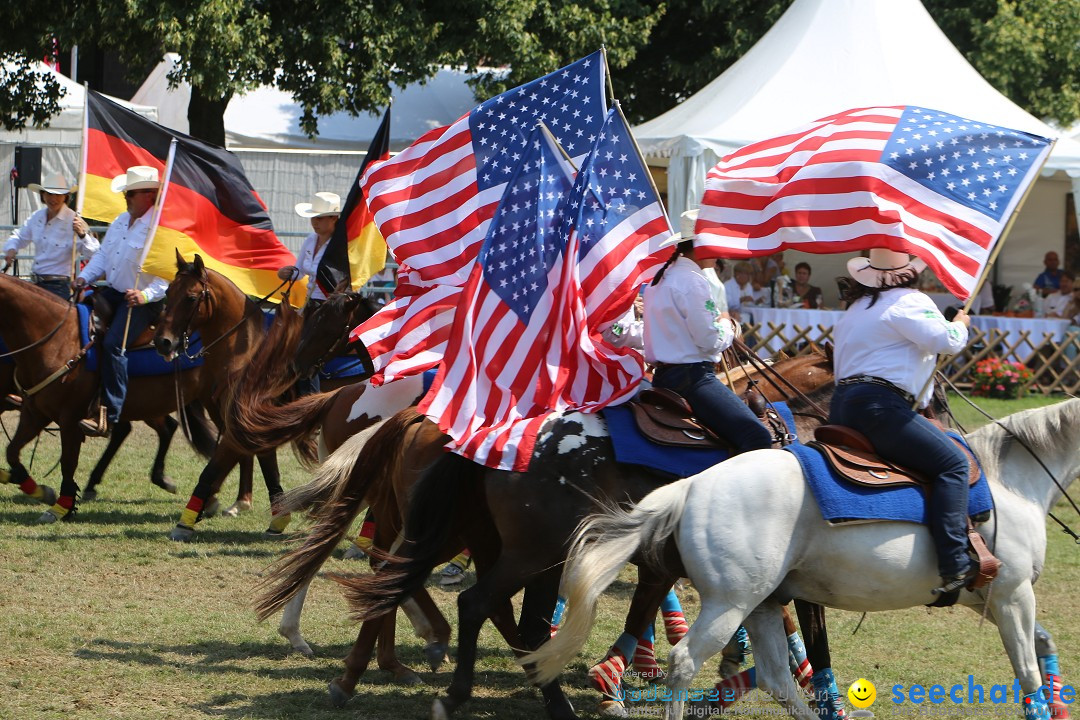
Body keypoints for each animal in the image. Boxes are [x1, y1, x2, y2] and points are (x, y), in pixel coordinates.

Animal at [0, 272, 220, 518]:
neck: (55, 341)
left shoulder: (69, 419)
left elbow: (68, 462)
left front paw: (62, 506)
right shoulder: (35, 413)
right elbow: (12, 452)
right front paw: (40, 491)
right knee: (162, 428)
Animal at [524, 399, 1080, 720]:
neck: (1010, 481)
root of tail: (691, 487)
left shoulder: (995, 598)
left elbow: (1043, 646)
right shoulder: (1013, 595)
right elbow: (1027, 673)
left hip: (763, 603)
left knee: (777, 679)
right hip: (729, 604)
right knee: (685, 663)